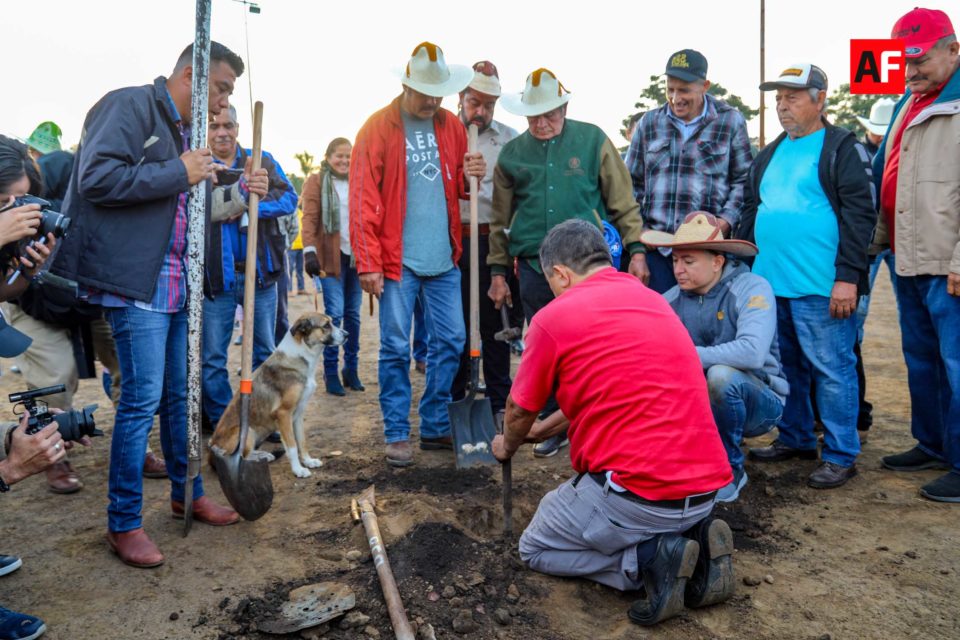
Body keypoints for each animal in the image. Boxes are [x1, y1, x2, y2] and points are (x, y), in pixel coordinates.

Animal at [208, 312, 346, 478]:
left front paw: (308, 461)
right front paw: (298, 470)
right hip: (247, 432)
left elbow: (302, 441)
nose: (347, 334)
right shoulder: (283, 414)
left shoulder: (298, 414)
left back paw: (264, 455)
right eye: (326, 325)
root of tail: (211, 452)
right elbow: (292, 446)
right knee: (242, 456)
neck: (299, 356)